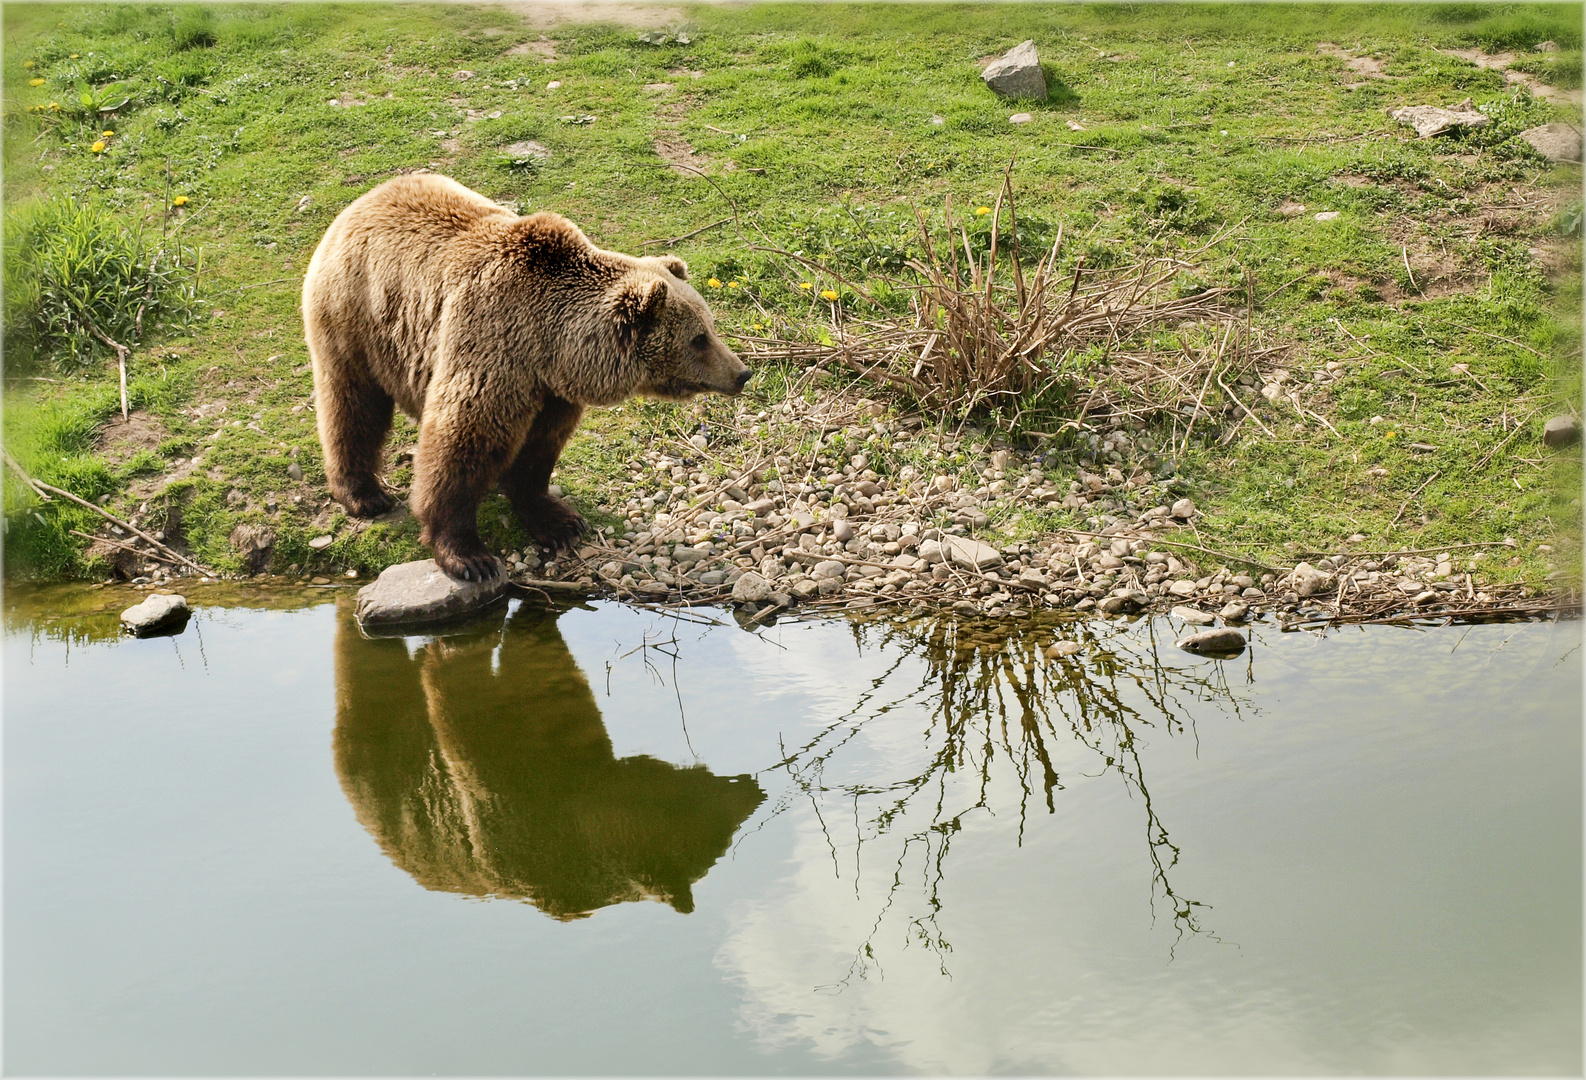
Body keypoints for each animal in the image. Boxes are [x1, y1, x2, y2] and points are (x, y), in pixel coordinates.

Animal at [302, 174, 748, 580]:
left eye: (710, 325)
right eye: (698, 339)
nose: (742, 372)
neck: (551, 345)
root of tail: (365, 200)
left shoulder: (552, 391)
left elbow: (538, 450)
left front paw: (560, 521)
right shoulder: (491, 348)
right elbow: (460, 445)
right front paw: (468, 556)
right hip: (356, 315)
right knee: (353, 403)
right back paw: (363, 493)